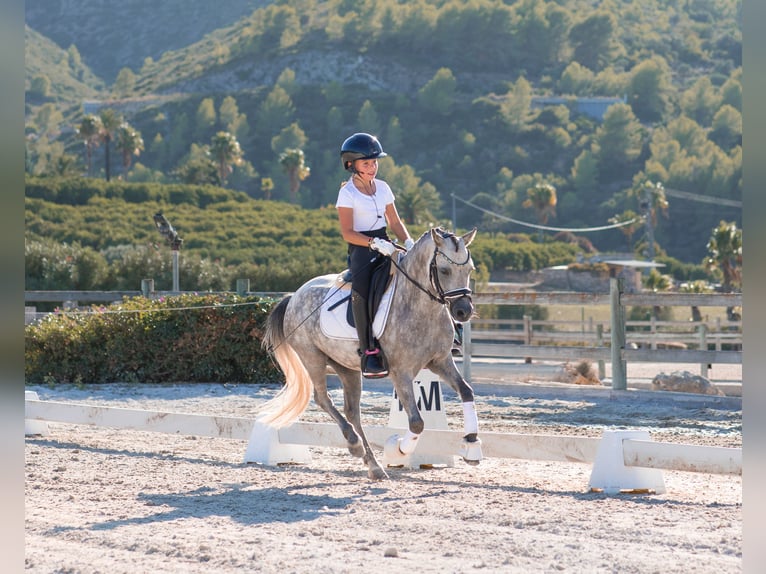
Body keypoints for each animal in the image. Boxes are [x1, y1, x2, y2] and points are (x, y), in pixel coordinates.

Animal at [259, 227, 482, 480]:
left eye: (469, 269)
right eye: (444, 270)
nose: (463, 311)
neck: (422, 307)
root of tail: (294, 296)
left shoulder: (441, 361)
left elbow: (466, 391)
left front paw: (472, 445)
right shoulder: (401, 372)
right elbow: (416, 422)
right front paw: (398, 450)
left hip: (346, 367)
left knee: (352, 411)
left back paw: (372, 464)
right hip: (312, 357)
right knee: (323, 399)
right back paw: (354, 444)